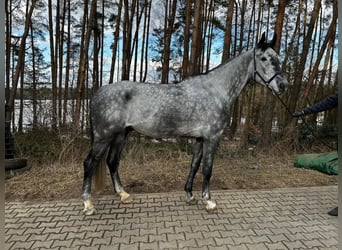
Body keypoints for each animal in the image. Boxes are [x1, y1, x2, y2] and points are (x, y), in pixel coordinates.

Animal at [82, 32, 288, 214]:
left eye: (277, 58)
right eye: (264, 58)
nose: (283, 85)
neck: (217, 90)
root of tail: (96, 94)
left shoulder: (199, 138)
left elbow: (194, 165)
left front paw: (190, 195)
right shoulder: (212, 138)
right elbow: (207, 169)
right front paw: (209, 202)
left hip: (121, 134)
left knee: (112, 162)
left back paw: (123, 194)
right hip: (103, 136)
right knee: (89, 163)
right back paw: (88, 204)